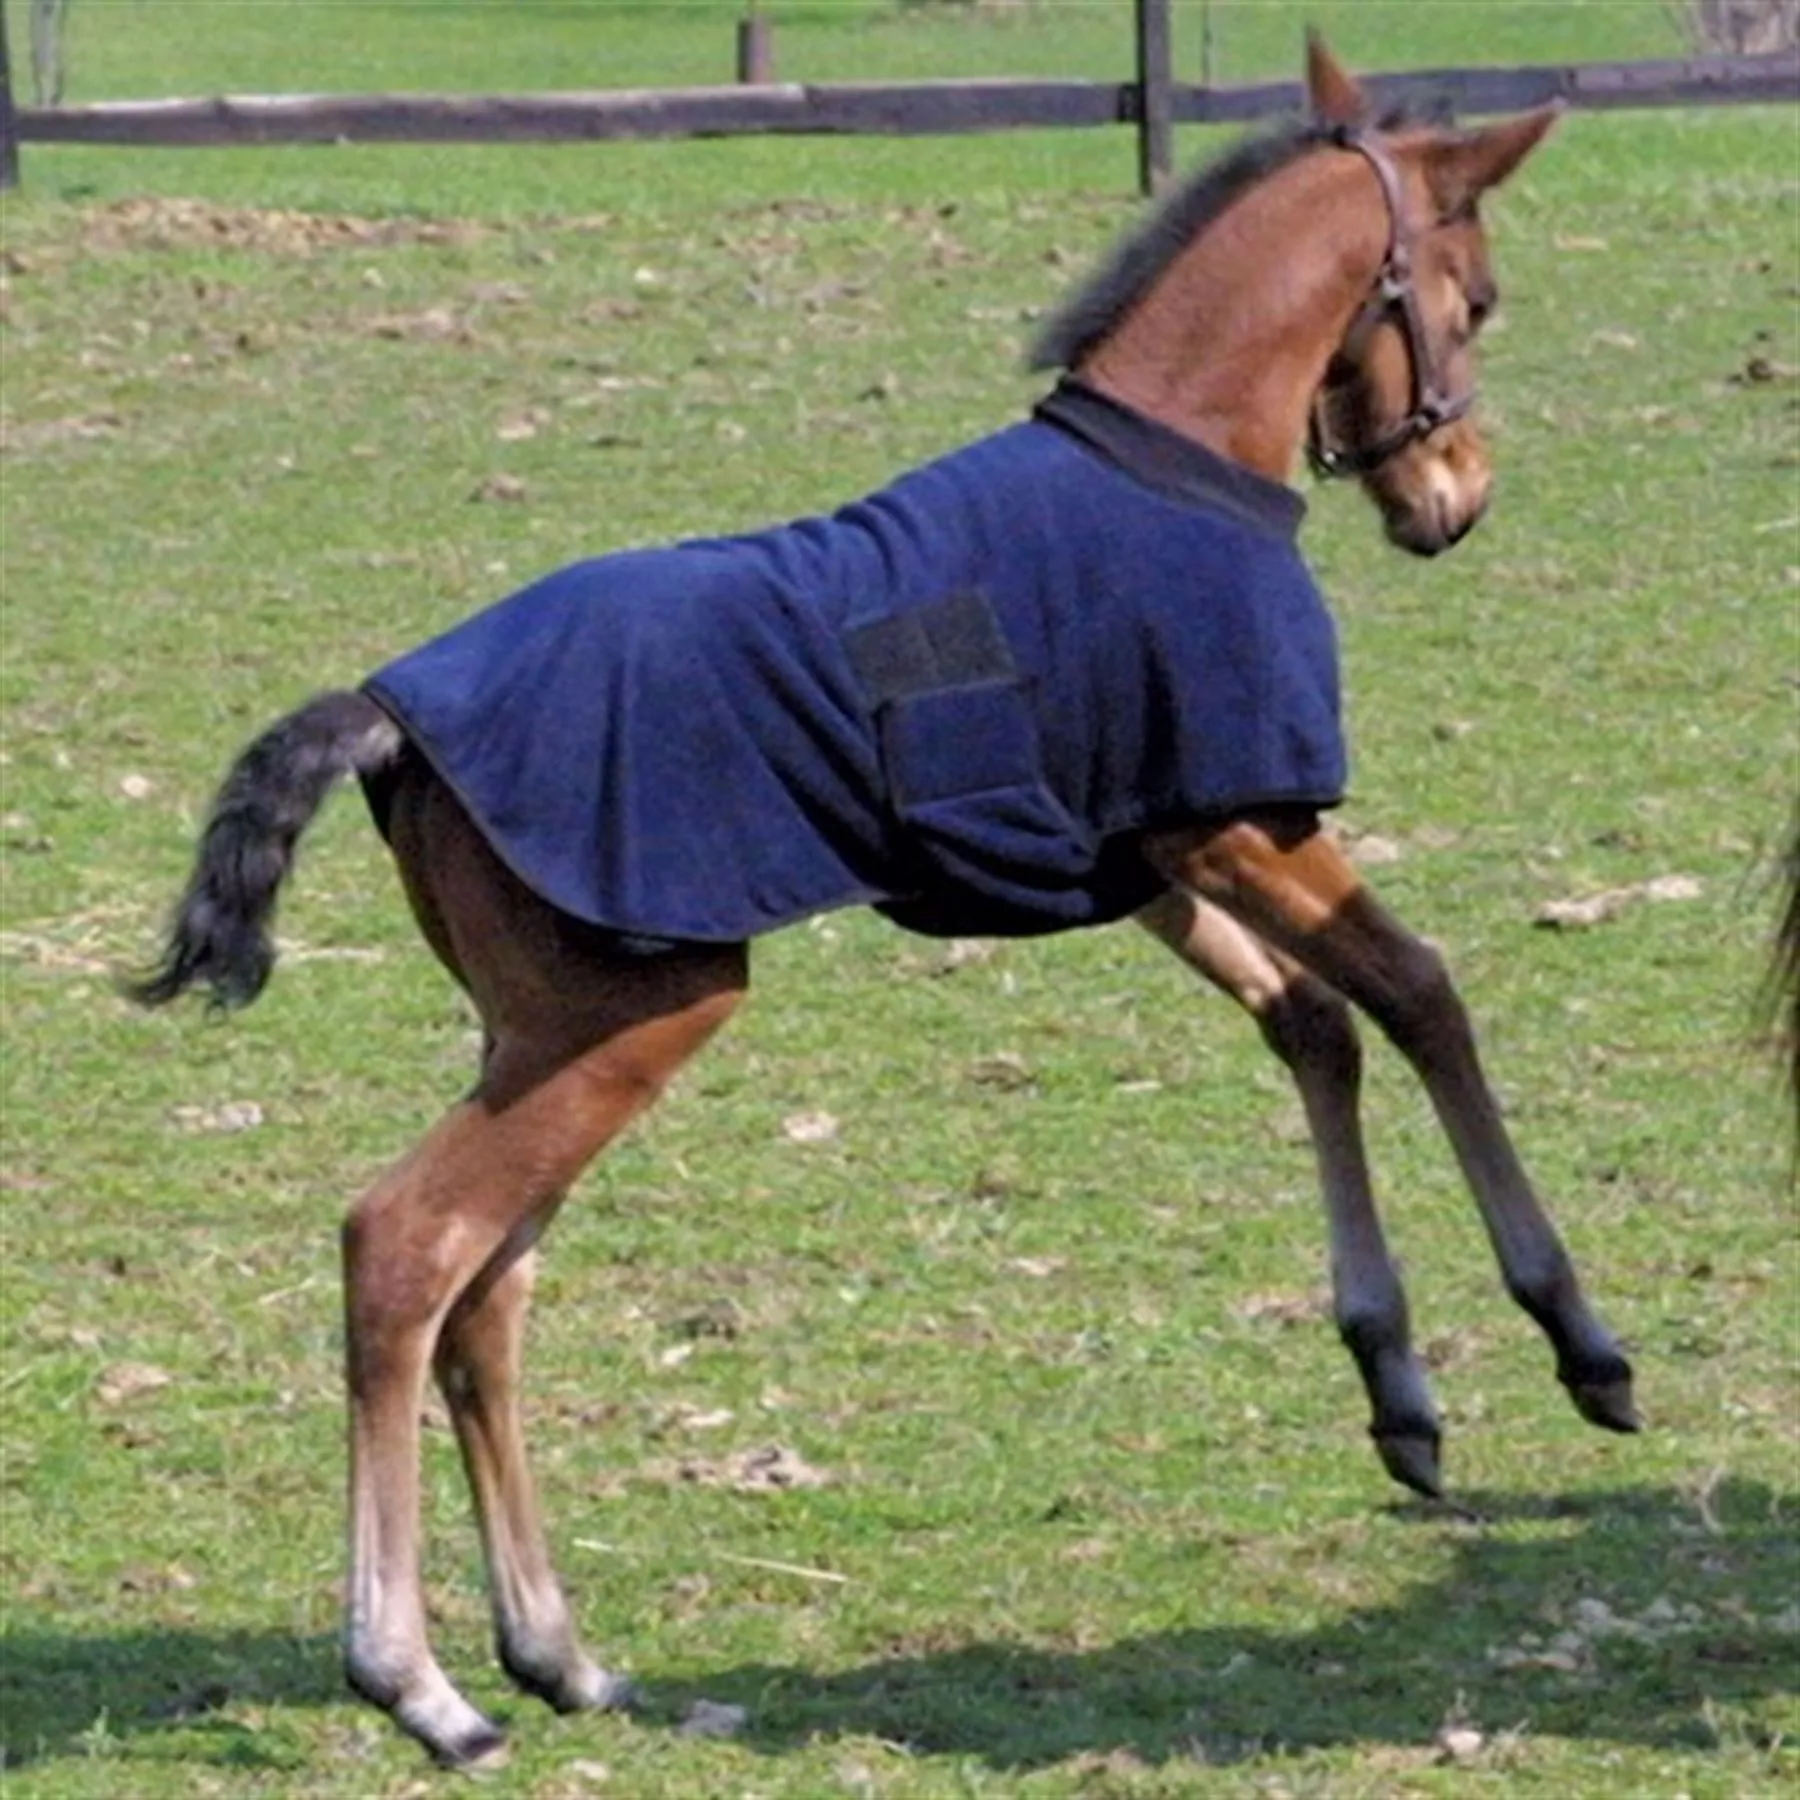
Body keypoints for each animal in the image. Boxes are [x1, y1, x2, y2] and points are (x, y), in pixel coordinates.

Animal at [130, 36, 1638, 1769]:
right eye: (1476, 295)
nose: (1454, 499)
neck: (1172, 469)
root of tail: (383, 709)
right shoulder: (1241, 827)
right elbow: (1418, 992)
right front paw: (1577, 1338)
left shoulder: (1147, 857)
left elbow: (1313, 1023)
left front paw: (1398, 1386)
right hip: (630, 1017)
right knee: (406, 1249)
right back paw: (418, 1682)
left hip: (541, 1036)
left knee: (487, 1296)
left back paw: (561, 1656)